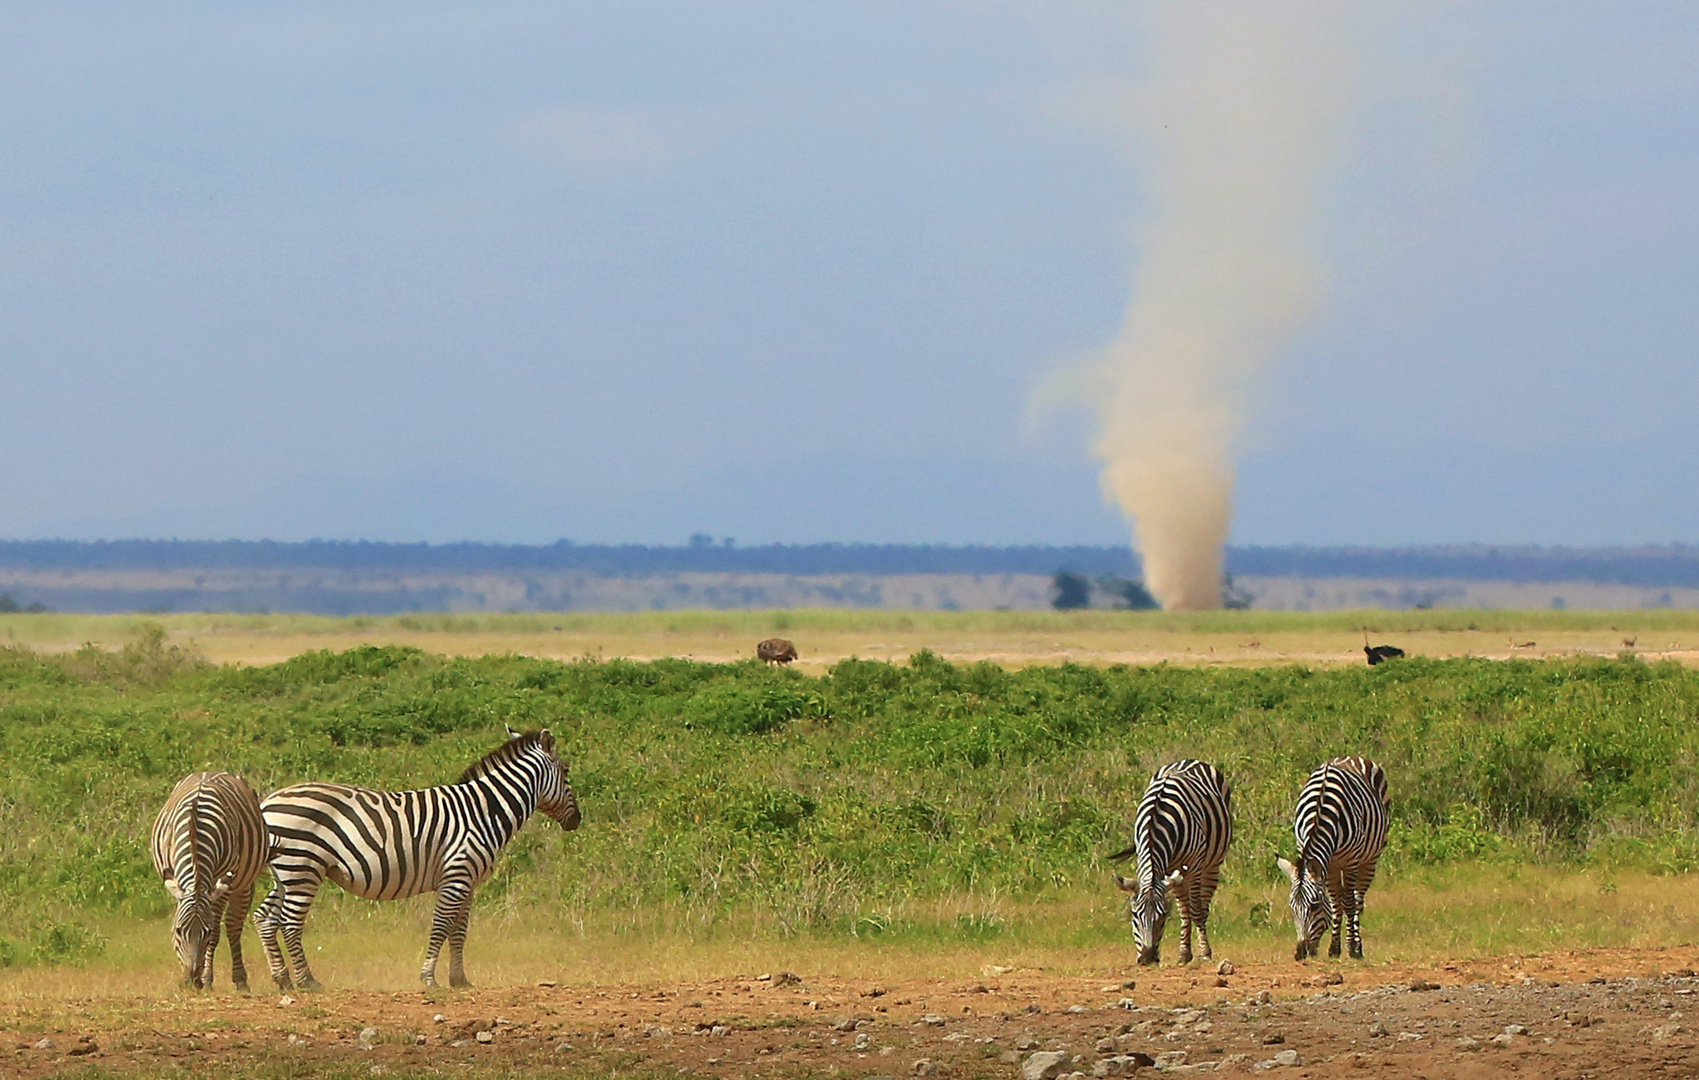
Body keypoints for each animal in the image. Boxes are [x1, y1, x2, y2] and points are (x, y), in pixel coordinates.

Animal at [152, 770, 268, 991]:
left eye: (205, 932)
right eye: (178, 931)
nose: (192, 982)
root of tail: (210, 771)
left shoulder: (222, 883)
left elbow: (217, 932)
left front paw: (207, 980)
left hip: (244, 883)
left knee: (233, 925)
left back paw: (240, 980)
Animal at [253, 726, 584, 984]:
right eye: (566, 771)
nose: (577, 820)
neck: (484, 811)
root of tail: (267, 802)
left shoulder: (468, 882)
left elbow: (459, 930)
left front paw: (459, 980)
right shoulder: (456, 875)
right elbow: (441, 926)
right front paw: (428, 978)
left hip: (286, 873)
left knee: (265, 918)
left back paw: (282, 979)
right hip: (303, 868)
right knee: (289, 922)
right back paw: (307, 981)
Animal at [1100, 753, 1236, 964]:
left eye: (1162, 917)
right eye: (1134, 916)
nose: (1147, 959)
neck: (1154, 824)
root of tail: (1190, 760)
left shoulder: (1194, 864)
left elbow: (1195, 909)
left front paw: (1204, 953)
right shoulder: (1157, 863)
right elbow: (1185, 909)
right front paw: (1185, 953)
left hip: (1212, 862)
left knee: (1202, 904)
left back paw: (1203, 948)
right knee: (1184, 907)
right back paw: (1185, 952)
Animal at [1277, 753, 1393, 957]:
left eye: (1314, 906)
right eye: (1291, 908)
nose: (1301, 953)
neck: (1320, 815)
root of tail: (1351, 756)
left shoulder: (1351, 860)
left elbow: (1348, 903)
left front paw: (1352, 948)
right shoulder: (1326, 862)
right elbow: (1335, 903)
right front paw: (1334, 948)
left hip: (1370, 858)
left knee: (1357, 900)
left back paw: (1357, 945)